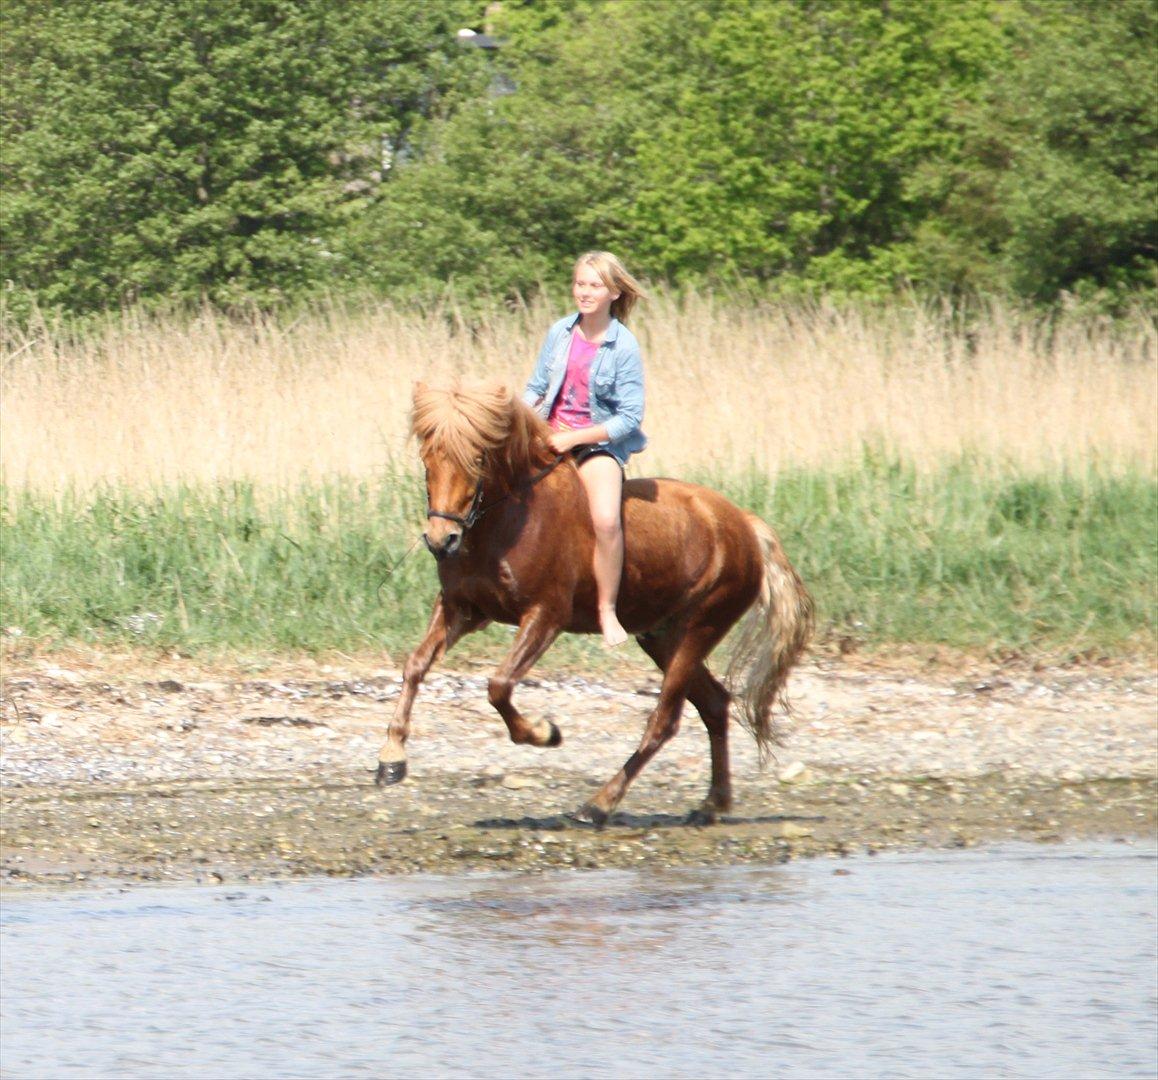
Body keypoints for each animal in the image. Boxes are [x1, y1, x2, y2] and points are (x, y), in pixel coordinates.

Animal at [375, 381, 810, 824]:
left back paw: (599, 804)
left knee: (665, 720)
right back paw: (712, 803)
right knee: (715, 704)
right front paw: (391, 758)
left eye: (477, 458)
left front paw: (545, 732)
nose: (441, 540)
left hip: (701, 627)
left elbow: (498, 686)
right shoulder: (463, 609)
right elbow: (415, 666)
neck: (506, 521)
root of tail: (745, 524)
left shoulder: (545, 616)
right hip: (662, 637)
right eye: (428, 457)